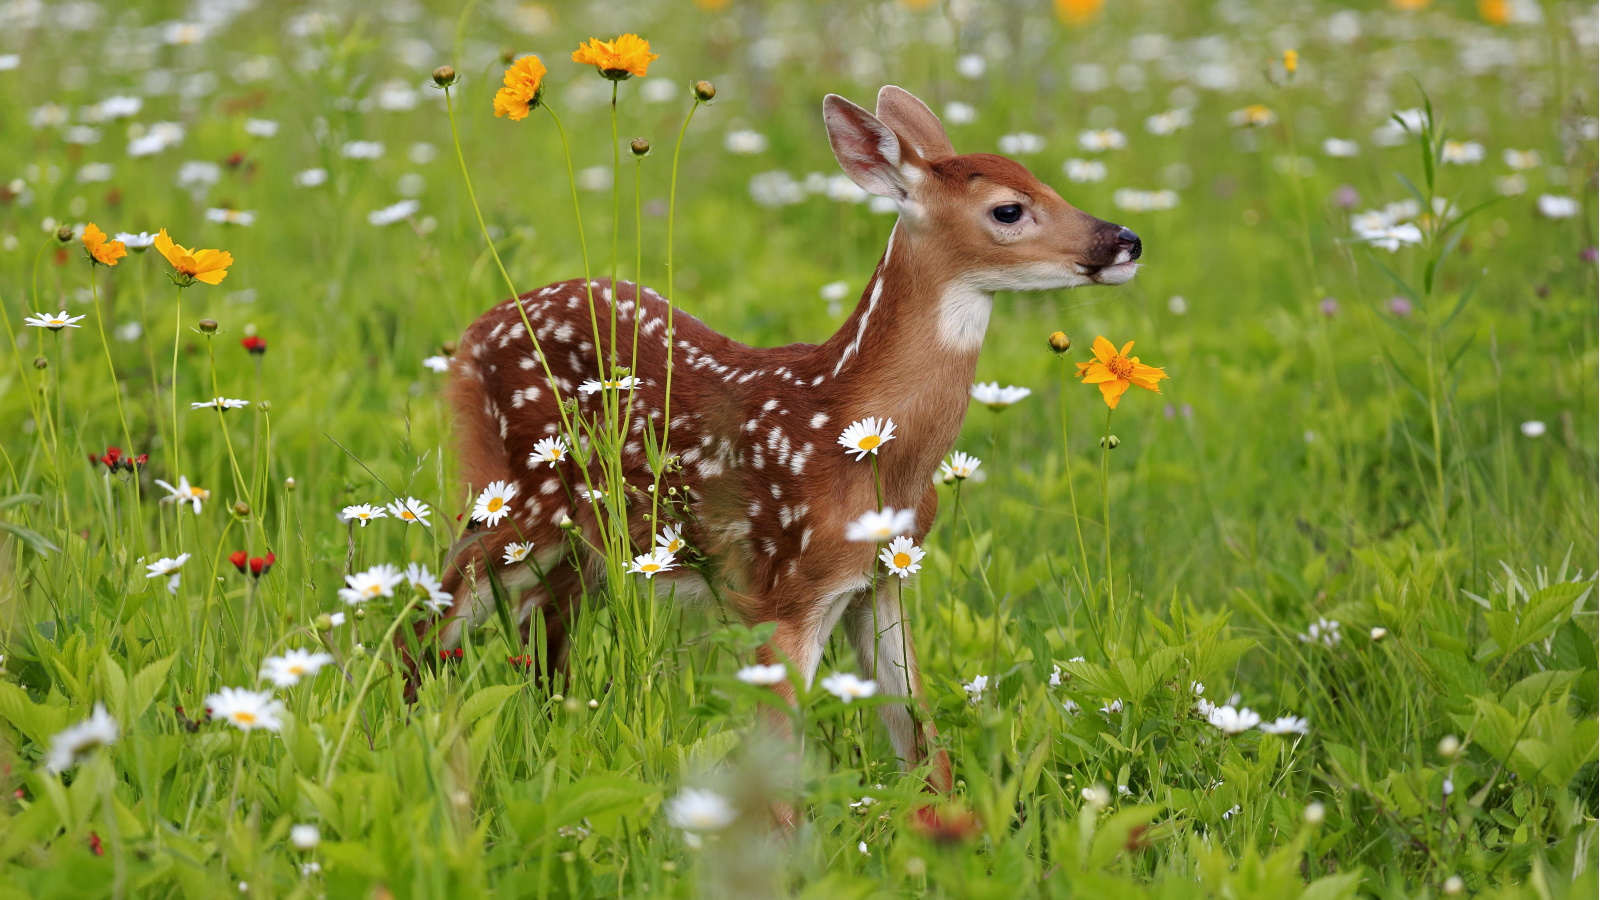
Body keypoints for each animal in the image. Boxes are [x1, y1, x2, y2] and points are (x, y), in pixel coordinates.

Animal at [426, 86, 1142, 796]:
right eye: (1009, 209)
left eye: (1047, 183)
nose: (1128, 240)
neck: (861, 436)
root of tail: (473, 333)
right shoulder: (784, 589)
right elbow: (778, 775)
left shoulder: (883, 576)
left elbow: (921, 740)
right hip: (518, 498)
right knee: (438, 608)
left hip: (589, 545)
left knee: (538, 633)